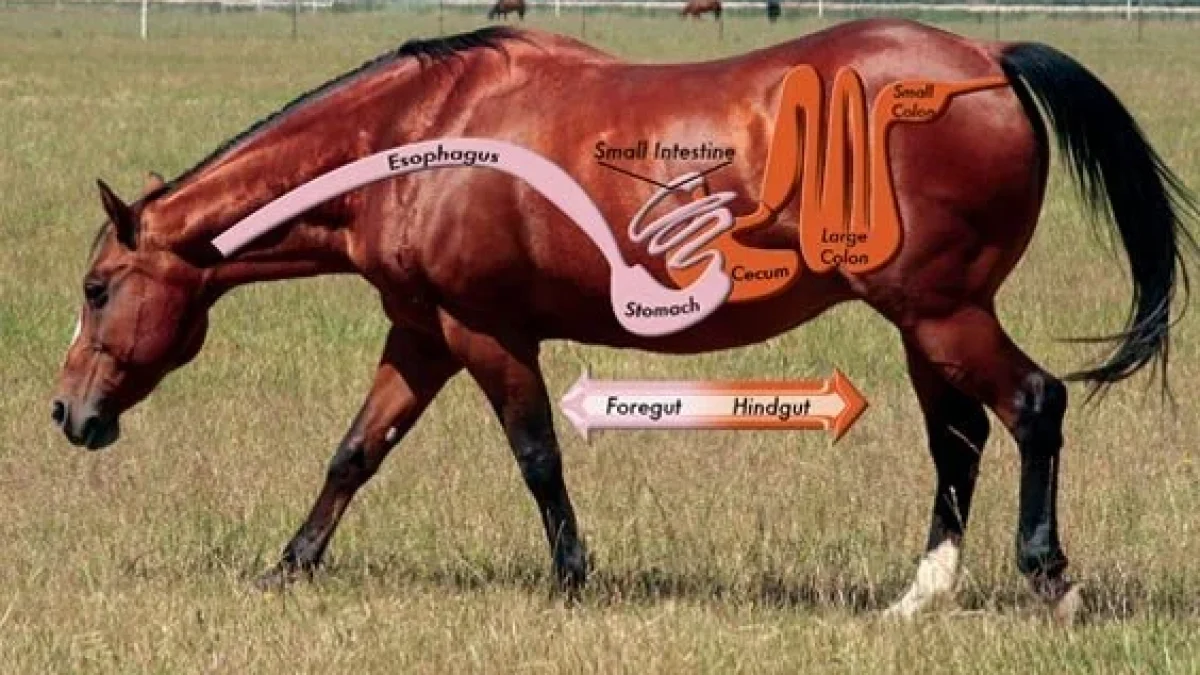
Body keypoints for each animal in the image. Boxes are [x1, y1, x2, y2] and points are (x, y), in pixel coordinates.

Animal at [53, 21, 1197, 622]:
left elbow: (537, 456)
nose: (70, 416)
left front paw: (571, 579)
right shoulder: (421, 334)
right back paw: (918, 596)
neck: (422, 136)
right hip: (926, 324)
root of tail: (987, 58)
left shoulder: (484, 333)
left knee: (1033, 405)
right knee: (957, 439)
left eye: (98, 287)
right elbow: (354, 454)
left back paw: (1048, 577)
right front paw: (288, 565)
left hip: (944, 311)